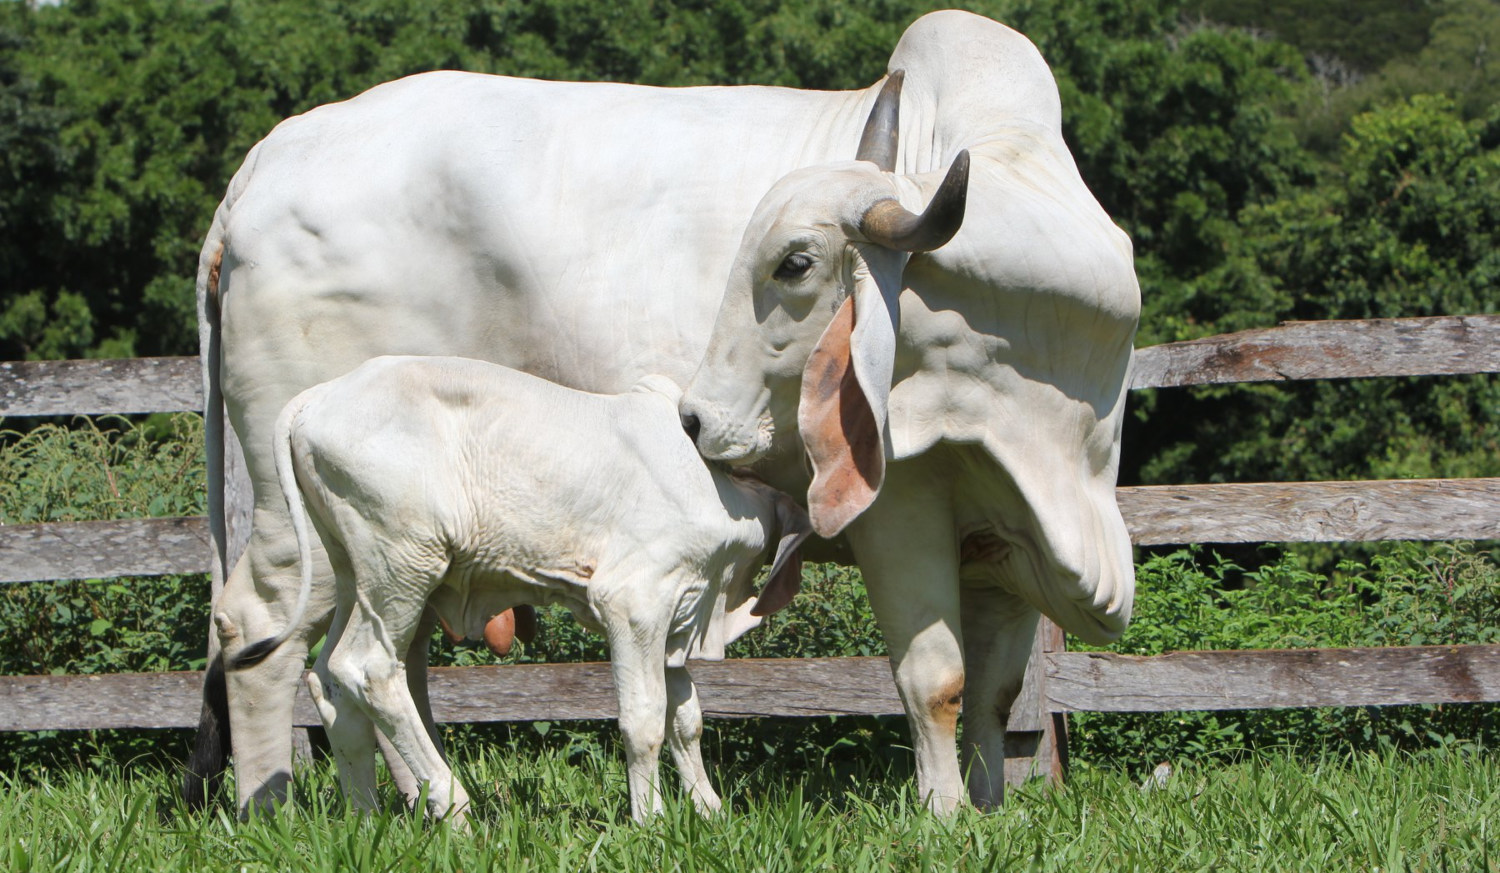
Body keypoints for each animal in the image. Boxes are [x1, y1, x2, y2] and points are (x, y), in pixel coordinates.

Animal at [243, 357, 810, 828]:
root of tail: (318, 396)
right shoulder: (635, 602)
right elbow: (645, 719)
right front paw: (650, 821)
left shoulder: (679, 616)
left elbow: (686, 718)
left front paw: (709, 810)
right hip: (402, 564)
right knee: (369, 669)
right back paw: (452, 805)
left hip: (353, 570)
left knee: (328, 680)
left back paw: (365, 820)